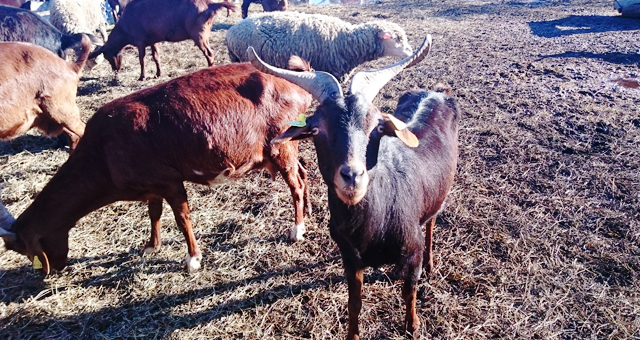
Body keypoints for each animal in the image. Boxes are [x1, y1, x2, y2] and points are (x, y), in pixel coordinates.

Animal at [0, 60, 312, 274]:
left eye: (26, 251)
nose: (50, 271)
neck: (103, 153)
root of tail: (298, 88)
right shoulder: (151, 184)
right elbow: (154, 213)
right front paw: (151, 246)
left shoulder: (169, 180)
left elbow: (182, 218)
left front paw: (192, 260)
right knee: (303, 173)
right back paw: (307, 212)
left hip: (281, 146)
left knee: (295, 183)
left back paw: (297, 230)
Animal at [90, 0, 235, 80]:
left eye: (107, 56)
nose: (115, 70)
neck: (124, 27)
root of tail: (209, 4)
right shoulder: (153, 40)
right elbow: (156, 56)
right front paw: (158, 73)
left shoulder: (140, 41)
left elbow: (142, 59)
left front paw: (142, 77)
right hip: (204, 34)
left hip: (198, 34)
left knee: (209, 54)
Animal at [248, 35, 458, 340]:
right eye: (316, 129)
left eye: (378, 127)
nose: (352, 176)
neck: (374, 225)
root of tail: (438, 92)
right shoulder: (350, 257)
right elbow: (354, 302)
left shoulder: (411, 250)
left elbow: (409, 292)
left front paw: (413, 327)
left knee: (431, 221)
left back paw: (431, 263)